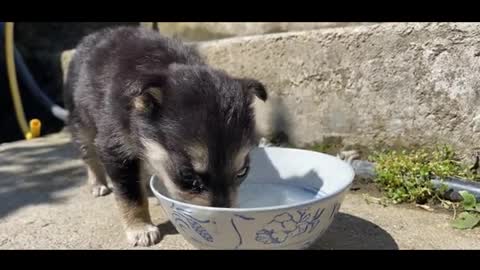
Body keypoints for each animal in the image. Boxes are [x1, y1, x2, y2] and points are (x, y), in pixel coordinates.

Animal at [62, 26, 268, 247]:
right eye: (187, 176)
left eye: (242, 172)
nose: (221, 220)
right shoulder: (115, 147)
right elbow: (129, 194)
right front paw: (140, 228)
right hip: (80, 121)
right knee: (89, 155)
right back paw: (98, 183)